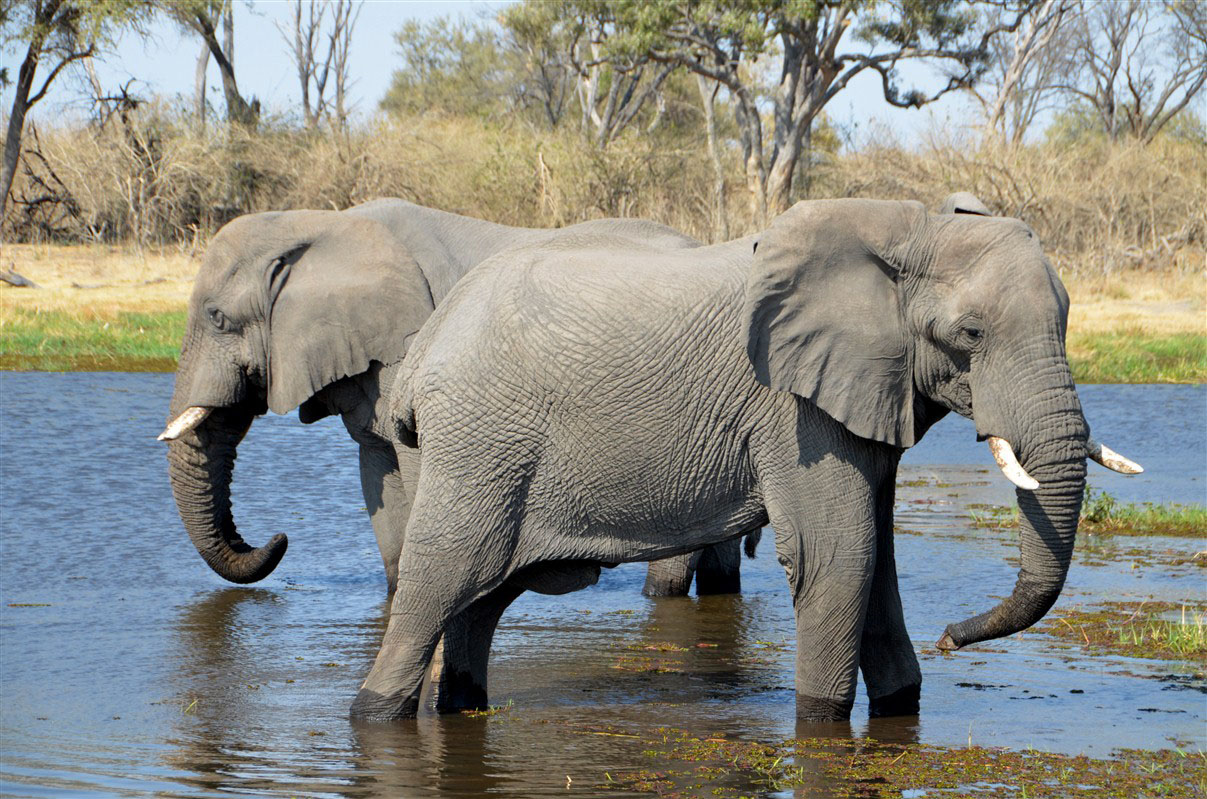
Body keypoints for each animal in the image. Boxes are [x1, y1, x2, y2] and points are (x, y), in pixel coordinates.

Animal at [350, 195, 1139, 724]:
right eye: (970, 333)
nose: (951, 635)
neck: (905, 225)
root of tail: (426, 342)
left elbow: (876, 558)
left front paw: (901, 704)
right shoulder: (792, 412)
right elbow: (839, 556)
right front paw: (820, 722)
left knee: (478, 599)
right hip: (480, 443)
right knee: (441, 579)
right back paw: (374, 712)